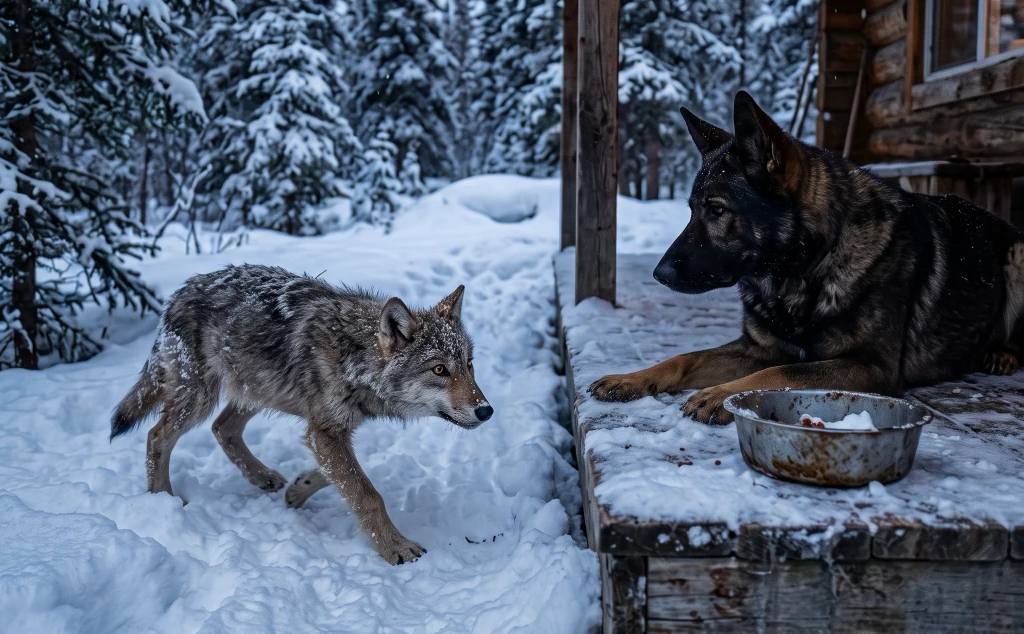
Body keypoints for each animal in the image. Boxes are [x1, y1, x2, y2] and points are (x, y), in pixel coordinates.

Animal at [110, 264, 492, 564]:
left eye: (469, 365)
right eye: (440, 369)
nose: (486, 411)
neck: (355, 356)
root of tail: (177, 294)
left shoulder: (330, 429)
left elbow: (340, 477)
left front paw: (298, 490)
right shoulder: (325, 430)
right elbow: (368, 495)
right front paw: (395, 548)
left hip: (257, 390)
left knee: (222, 428)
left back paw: (262, 477)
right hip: (201, 399)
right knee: (158, 436)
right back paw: (163, 500)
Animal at [589, 91, 1024, 424]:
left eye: (717, 210)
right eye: (693, 209)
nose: (658, 274)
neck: (805, 269)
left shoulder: (870, 367)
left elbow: (783, 370)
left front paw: (719, 394)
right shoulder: (756, 348)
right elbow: (683, 357)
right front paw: (631, 378)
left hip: (1017, 254)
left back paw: (1002, 353)